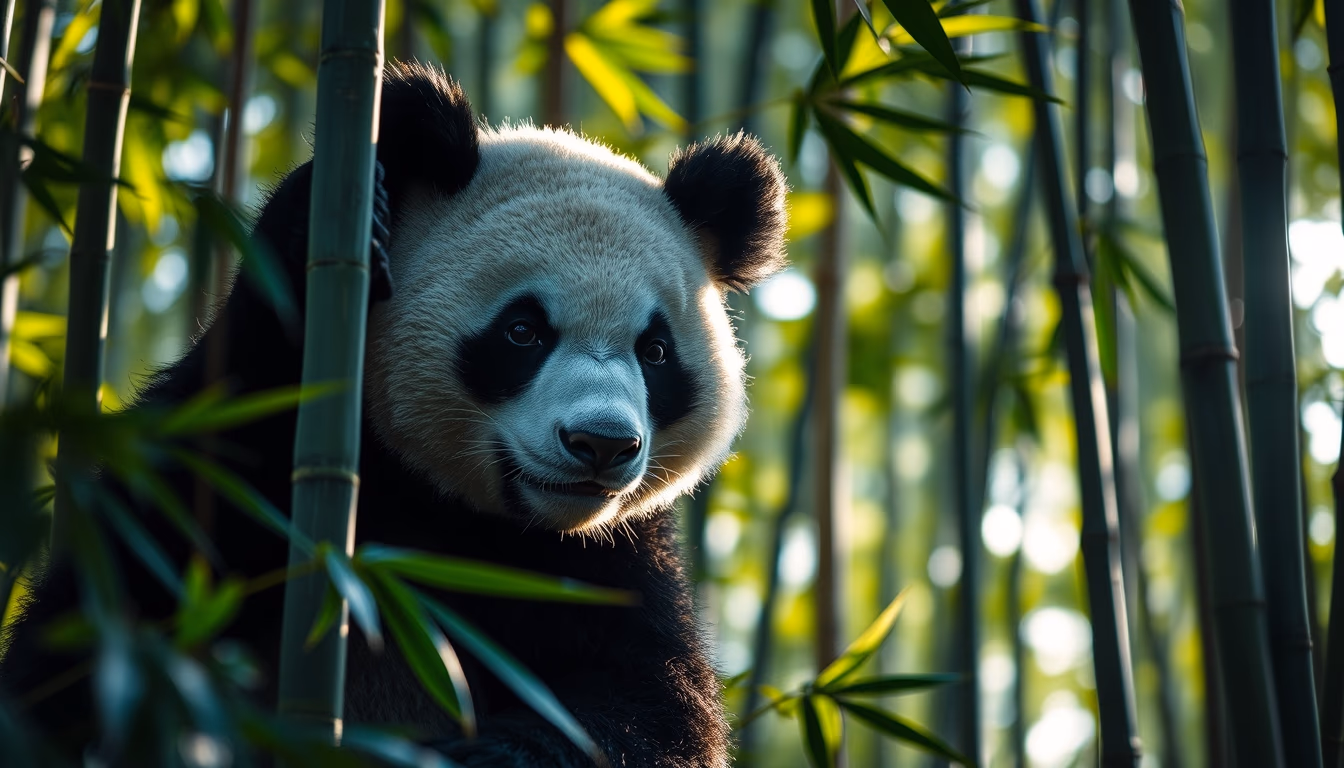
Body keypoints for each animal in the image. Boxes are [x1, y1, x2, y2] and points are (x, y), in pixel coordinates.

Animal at [0, 62, 787, 767]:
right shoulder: (235, 447)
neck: (441, 506)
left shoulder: (605, 560)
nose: (600, 444)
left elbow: (650, 705)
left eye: (655, 351)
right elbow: (94, 642)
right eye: (522, 332)